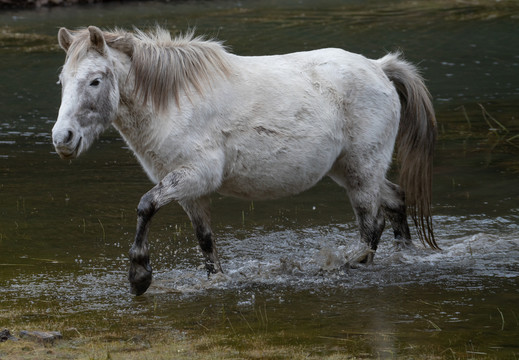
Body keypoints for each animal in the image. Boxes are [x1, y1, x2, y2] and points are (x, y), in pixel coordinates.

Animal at [52, 26, 436, 296]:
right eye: (62, 81)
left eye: (95, 81)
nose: (62, 139)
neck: (174, 102)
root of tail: (378, 67)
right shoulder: (189, 190)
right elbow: (205, 241)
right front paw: (215, 280)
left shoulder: (195, 176)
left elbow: (146, 206)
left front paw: (139, 276)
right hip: (350, 170)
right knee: (394, 202)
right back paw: (404, 255)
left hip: (361, 171)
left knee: (372, 225)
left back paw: (352, 266)